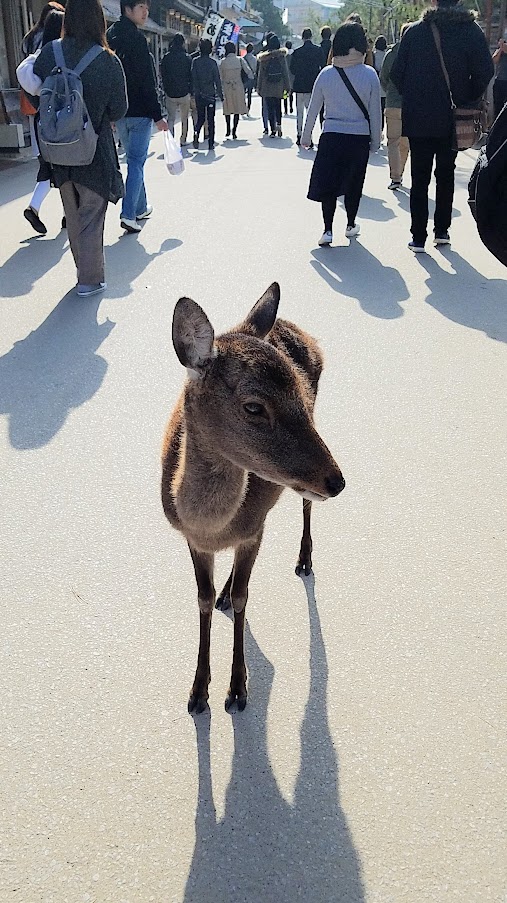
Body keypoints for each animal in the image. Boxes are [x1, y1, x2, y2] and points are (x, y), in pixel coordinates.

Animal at [163, 282, 346, 712]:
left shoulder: (251, 531)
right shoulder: (193, 541)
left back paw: (304, 559)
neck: (210, 526)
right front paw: (198, 691)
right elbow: (202, 597)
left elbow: (245, 596)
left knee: (304, 504)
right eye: (253, 406)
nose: (337, 481)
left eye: (300, 393)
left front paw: (237, 689)